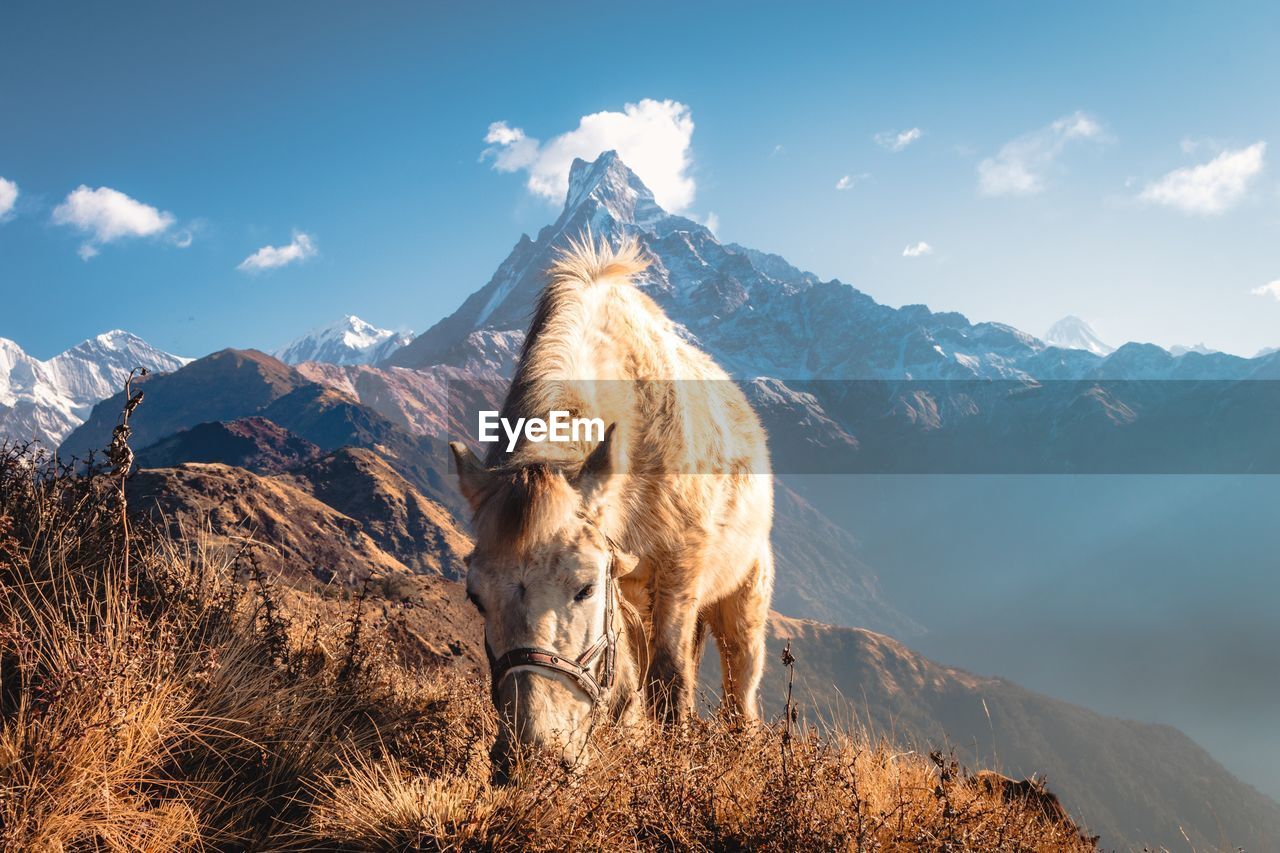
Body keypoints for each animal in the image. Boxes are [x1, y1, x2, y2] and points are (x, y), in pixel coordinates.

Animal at [450, 233, 768, 778]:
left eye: (584, 588)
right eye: (475, 597)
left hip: (742, 596)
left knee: (738, 688)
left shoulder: (679, 578)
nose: (532, 755)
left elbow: (670, 686)